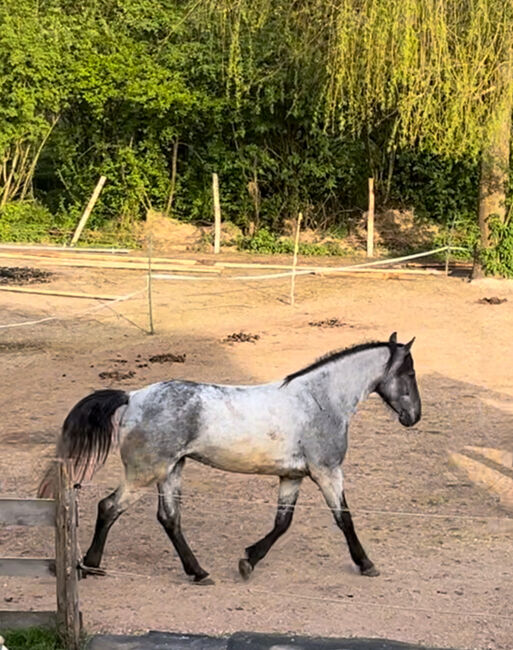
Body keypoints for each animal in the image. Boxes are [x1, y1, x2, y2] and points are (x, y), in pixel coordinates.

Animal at [40, 332, 420, 580]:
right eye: (410, 373)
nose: (414, 416)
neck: (320, 400)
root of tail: (133, 397)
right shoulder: (328, 472)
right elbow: (344, 519)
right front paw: (367, 564)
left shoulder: (292, 476)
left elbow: (282, 523)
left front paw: (249, 560)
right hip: (145, 473)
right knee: (109, 507)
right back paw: (91, 564)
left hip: (171, 470)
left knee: (169, 519)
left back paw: (198, 572)